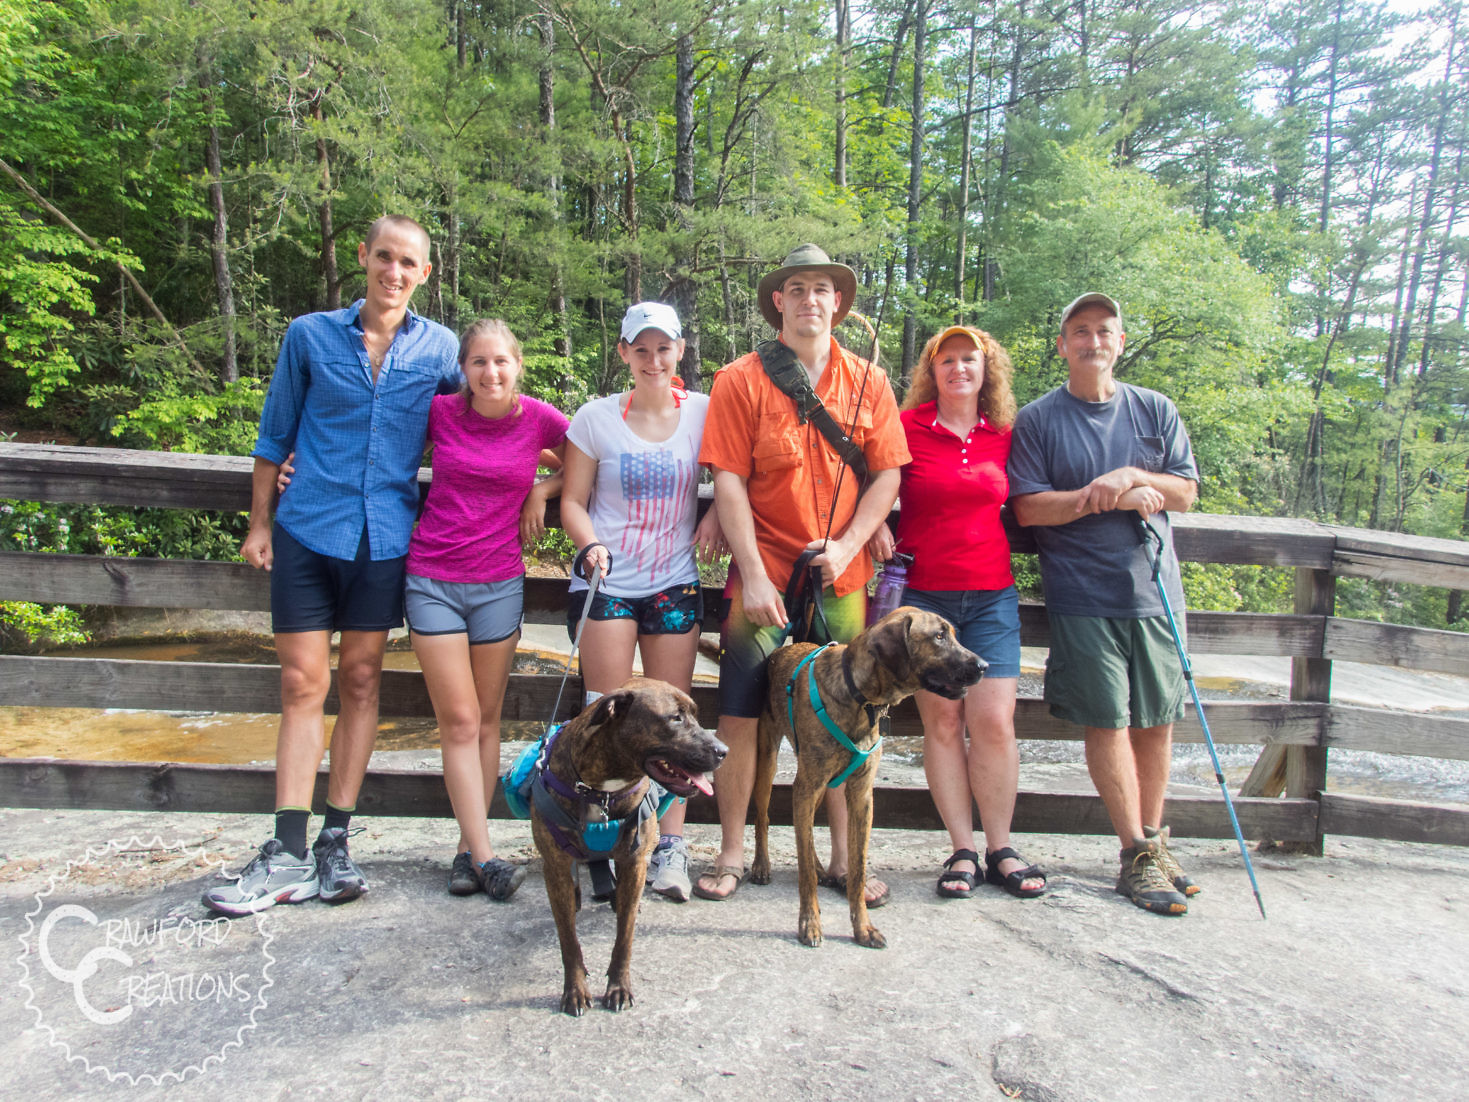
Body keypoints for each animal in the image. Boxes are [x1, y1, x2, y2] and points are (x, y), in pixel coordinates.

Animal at [752, 614, 981, 952]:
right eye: (939, 636)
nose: (984, 665)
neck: (859, 696)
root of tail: (780, 652)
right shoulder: (806, 786)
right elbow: (804, 872)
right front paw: (810, 923)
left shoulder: (859, 796)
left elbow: (857, 869)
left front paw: (863, 928)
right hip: (770, 760)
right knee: (763, 816)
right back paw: (761, 865)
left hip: (814, 785)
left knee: (805, 832)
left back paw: (819, 866)